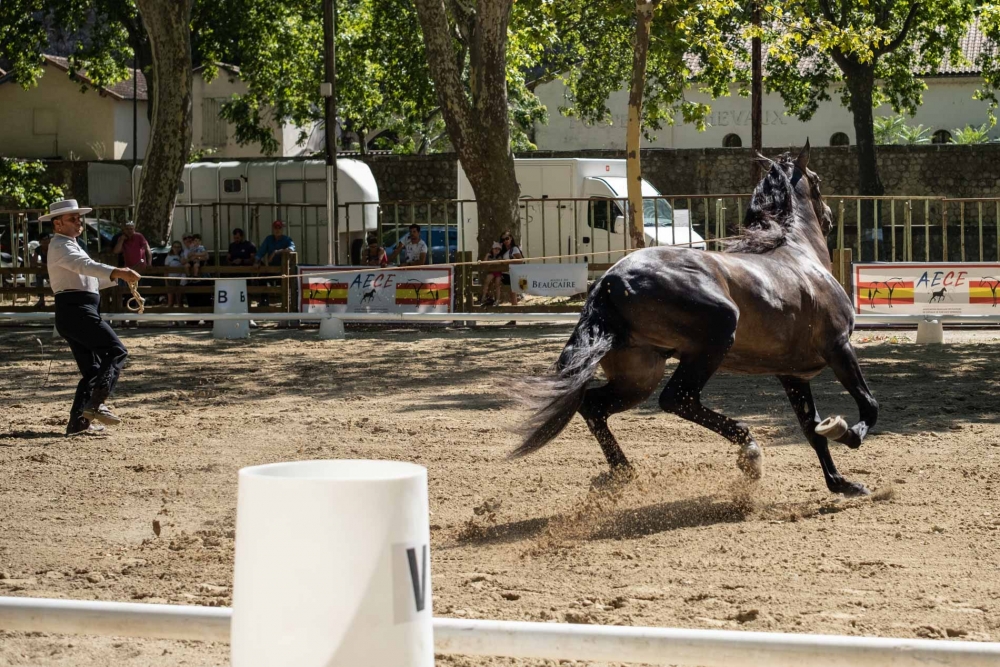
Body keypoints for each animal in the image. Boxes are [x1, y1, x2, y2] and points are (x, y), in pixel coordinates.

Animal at [512, 144, 880, 498]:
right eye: (817, 181)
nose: (829, 217)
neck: (799, 256)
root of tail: (610, 280)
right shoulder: (838, 346)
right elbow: (868, 405)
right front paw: (847, 434)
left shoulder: (792, 374)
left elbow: (811, 429)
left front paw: (842, 484)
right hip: (712, 340)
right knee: (676, 398)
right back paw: (749, 450)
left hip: (639, 375)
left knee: (594, 406)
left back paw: (623, 472)